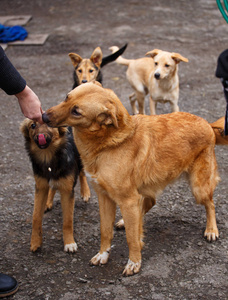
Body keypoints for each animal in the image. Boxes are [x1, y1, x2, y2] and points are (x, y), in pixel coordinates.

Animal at [20, 119, 90, 253]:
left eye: (48, 124)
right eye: (33, 125)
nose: (40, 136)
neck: (48, 156)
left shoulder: (68, 191)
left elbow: (68, 221)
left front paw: (69, 243)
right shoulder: (40, 187)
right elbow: (36, 217)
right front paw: (35, 242)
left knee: (82, 172)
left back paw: (85, 192)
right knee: (53, 186)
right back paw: (48, 202)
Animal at [41, 82, 227, 276]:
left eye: (76, 111)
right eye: (66, 97)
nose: (43, 116)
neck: (107, 144)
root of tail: (207, 124)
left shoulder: (128, 199)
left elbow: (131, 238)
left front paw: (134, 262)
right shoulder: (105, 197)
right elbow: (105, 231)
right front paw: (103, 255)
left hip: (199, 188)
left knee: (211, 204)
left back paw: (211, 230)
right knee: (149, 203)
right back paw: (126, 221)